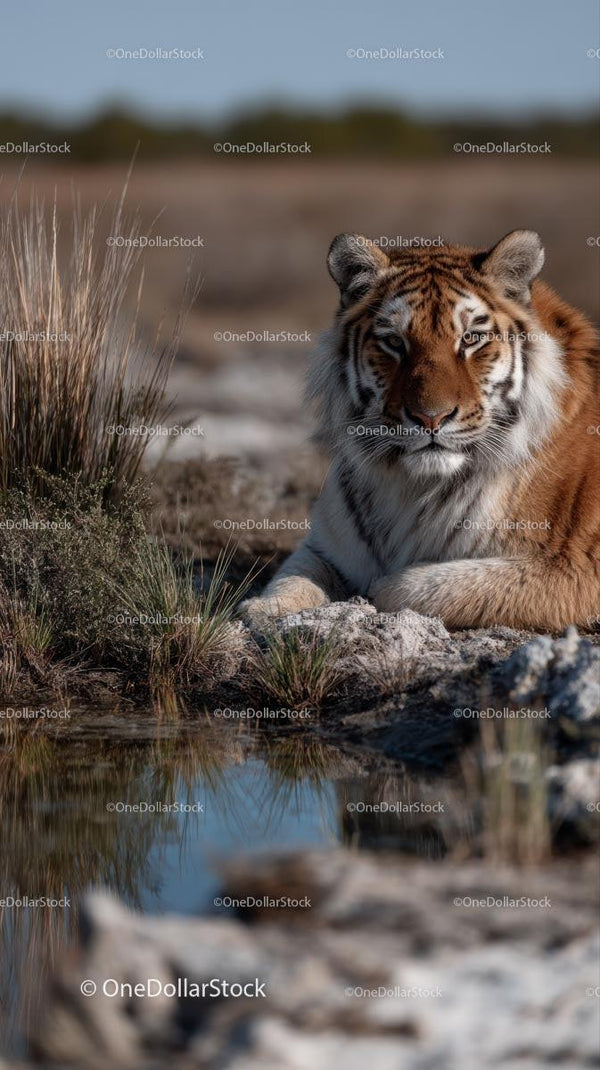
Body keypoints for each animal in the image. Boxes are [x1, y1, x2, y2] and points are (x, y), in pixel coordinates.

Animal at [241, 230, 600, 632]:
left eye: (471, 338)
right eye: (395, 341)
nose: (431, 418)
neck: (411, 488)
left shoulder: (575, 565)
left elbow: (409, 585)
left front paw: (371, 595)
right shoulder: (327, 547)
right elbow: (293, 576)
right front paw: (263, 609)